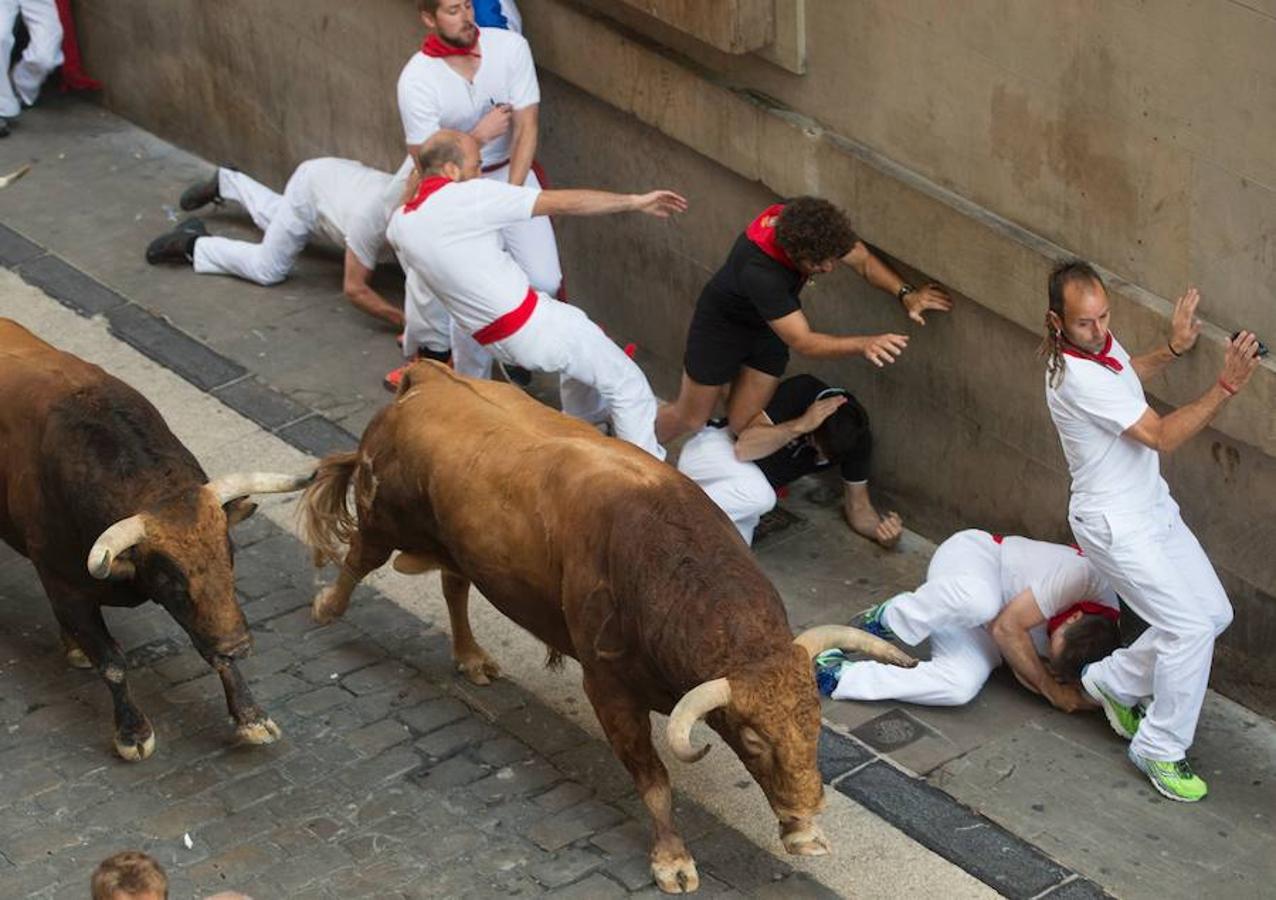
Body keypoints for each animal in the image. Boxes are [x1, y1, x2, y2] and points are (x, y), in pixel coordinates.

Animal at [0, 317, 311, 755]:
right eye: (171, 579)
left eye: (229, 557)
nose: (239, 645)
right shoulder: (64, 584)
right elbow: (112, 663)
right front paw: (132, 731)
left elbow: (210, 647)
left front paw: (250, 716)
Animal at [302, 360, 913, 893]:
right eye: (753, 740)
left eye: (814, 723)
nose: (807, 807)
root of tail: (426, 376)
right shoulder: (609, 690)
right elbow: (655, 781)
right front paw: (672, 860)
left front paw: (802, 833)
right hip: (385, 518)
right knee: (358, 559)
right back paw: (327, 607)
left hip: (459, 545)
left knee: (454, 585)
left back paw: (471, 657)